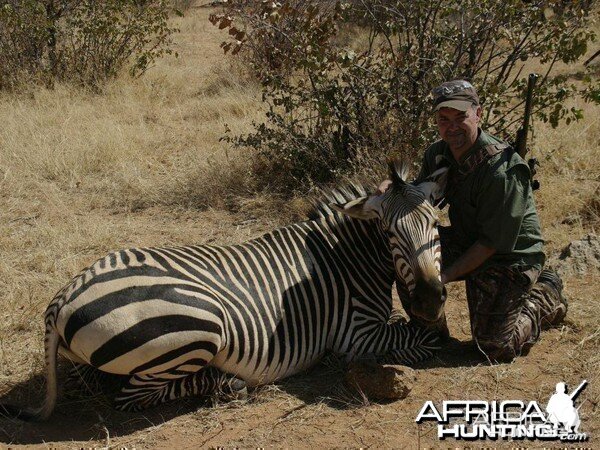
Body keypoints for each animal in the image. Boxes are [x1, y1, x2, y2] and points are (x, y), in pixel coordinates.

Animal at [0, 160, 448, 420]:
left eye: (434, 223)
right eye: (388, 233)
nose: (430, 300)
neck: (349, 255)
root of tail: (61, 299)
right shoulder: (356, 334)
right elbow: (426, 341)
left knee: (99, 382)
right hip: (199, 326)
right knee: (129, 396)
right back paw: (225, 383)